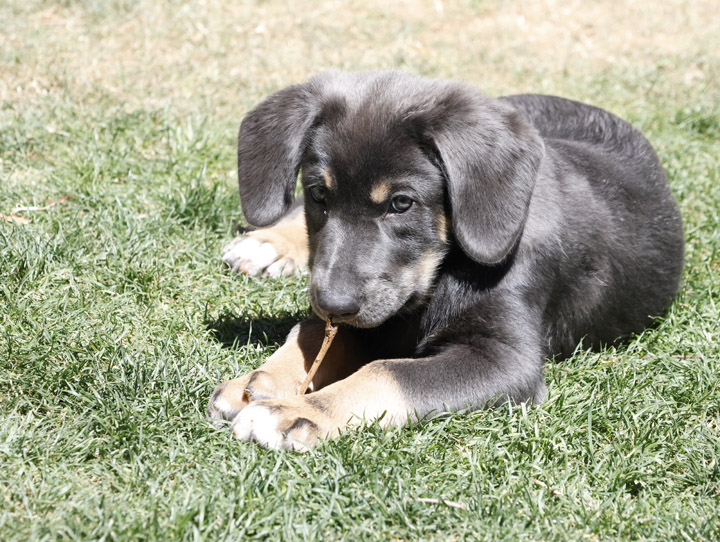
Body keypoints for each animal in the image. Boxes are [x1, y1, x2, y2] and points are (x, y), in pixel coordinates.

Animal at [207, 70, 680, 452]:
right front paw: (258, 381)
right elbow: (310, 335)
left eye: (401, 203)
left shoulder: (504, 359)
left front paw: (298, 411)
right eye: (319, 194)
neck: (442, 272)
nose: (333, 305)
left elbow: (385, 371)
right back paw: (267, 242)